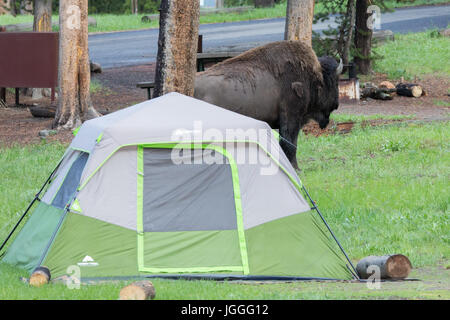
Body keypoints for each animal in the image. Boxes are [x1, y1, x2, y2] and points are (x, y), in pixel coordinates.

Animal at [194, 41, 344, 169]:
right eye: (335, 81)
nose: (336, 104)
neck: (315, 77)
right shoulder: (291, 118)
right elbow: (290, 144)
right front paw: (295, 168)